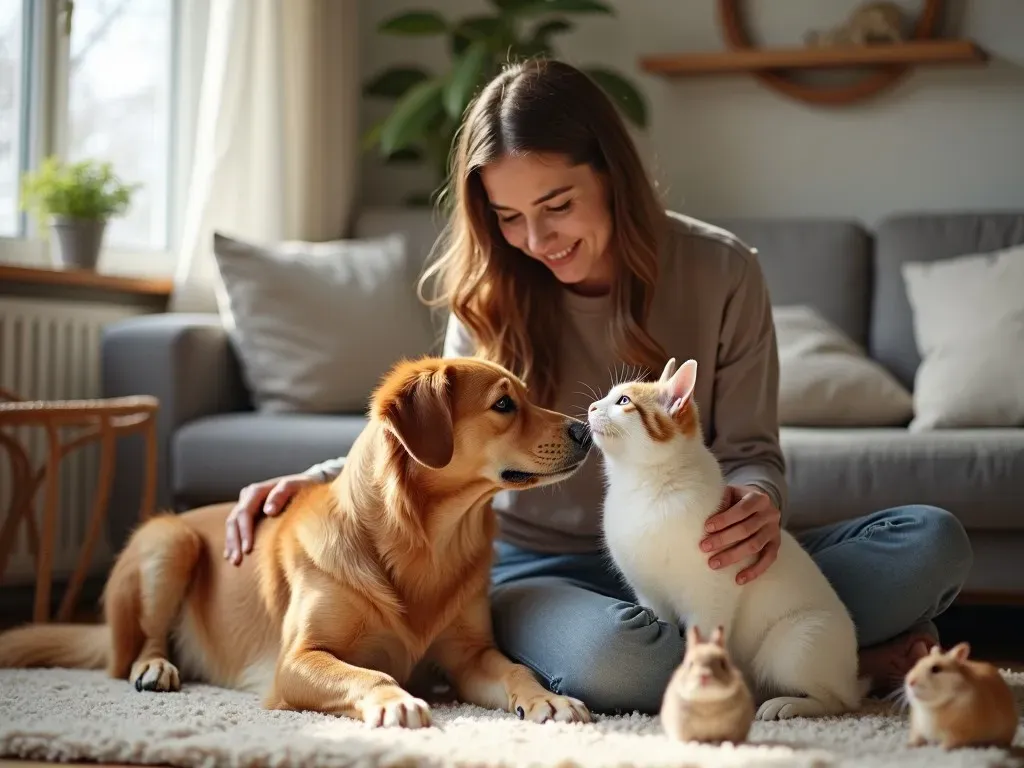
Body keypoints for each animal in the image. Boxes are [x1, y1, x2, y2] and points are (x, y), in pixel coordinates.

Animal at [0, 354, 593, 729]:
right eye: (503, 405)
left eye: (528, 397)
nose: (586, 429)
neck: (425, 542)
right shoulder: (298, 658)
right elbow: (369, 670)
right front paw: (393, 699)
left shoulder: (470, 657)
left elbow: (515, 667)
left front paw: (546, 699)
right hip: (170, 542)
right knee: (139, 646)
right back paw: (155, 668)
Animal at [589, 360, 868, 720]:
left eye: (623, 401)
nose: (591, 407)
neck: (645, 487)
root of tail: (852, 676)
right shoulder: (652, 597)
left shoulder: (710, 597)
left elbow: (703, 646)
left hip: (791, 648)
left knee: (838, 703)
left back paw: (786, 704)